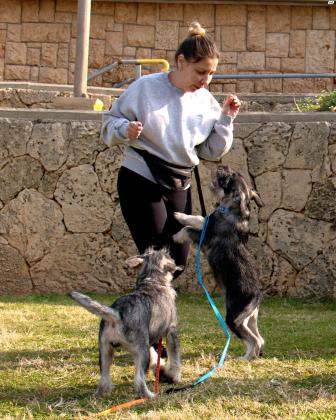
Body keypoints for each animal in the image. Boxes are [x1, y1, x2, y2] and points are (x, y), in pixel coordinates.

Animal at [69, 248, 182, 398]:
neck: (152, 280)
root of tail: (117, 313)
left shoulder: (149, 339)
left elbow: (155, 354)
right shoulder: (171, 331)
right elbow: (175, 358)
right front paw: (174, 376)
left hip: (105, 351)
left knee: (104, 378)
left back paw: (102, 393)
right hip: (140, 352)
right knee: (139, 380)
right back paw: (150, 396)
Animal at [173, 166, 266, 360]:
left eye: (230, 177)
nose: (222, 167)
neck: (232, 210)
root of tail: (256, 296)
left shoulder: (206, 236)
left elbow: (192, 225)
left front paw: (177, 228)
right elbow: (199, 219)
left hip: (234, 318)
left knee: (254, 340)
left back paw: (245, 359)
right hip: (250, 319)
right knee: (260, 339)